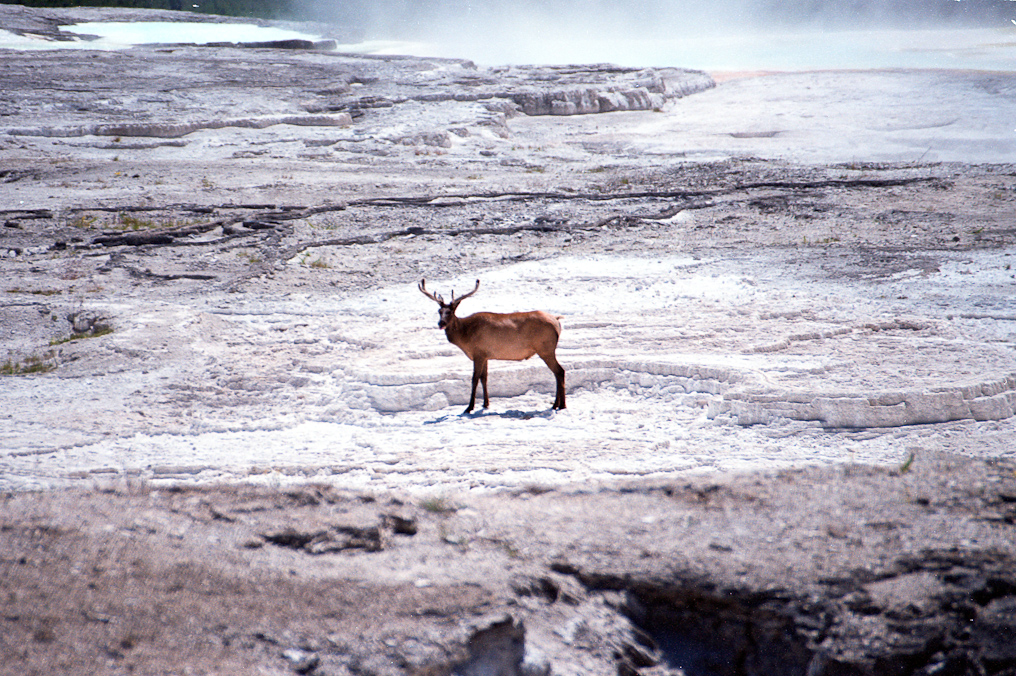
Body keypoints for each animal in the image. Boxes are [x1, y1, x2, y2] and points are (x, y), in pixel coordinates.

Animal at [419, 278, 566, 414]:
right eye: (439, 311)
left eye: (450, 311)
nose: (441, 323)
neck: (465, 337)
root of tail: (557, 321)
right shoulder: (485, 355)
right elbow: (484, 378)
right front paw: (485, 404)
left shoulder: (478, 353)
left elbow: (474, 379)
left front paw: (469, 407)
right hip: (547, 350)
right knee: (557, 373)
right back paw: (556, 405)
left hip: (545, 349)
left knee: (559, 371)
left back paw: (562, 405)